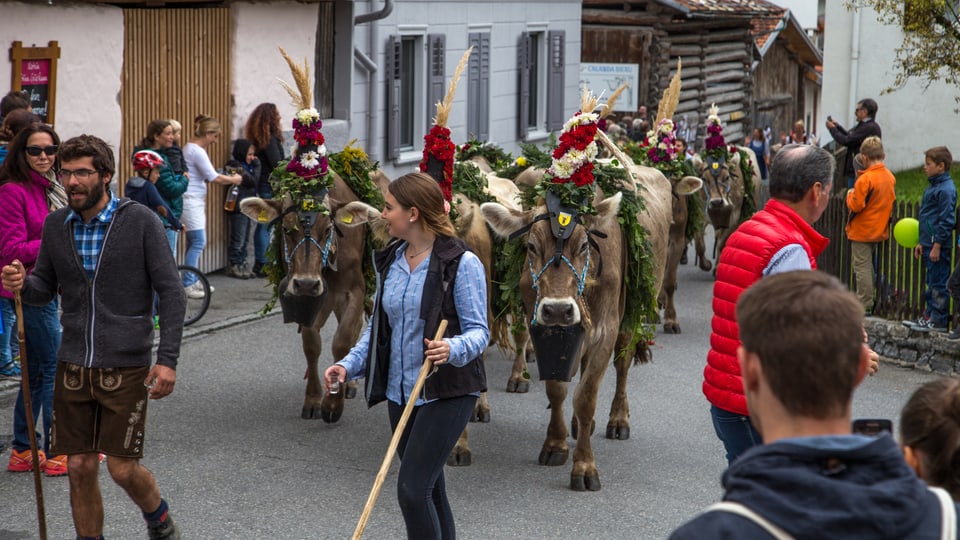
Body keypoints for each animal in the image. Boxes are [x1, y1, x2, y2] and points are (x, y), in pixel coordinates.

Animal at [240, 173, 376, 422]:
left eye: (328, 229)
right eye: (286, 229)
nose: (307, 283)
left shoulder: (354, 290)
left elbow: (342, 339)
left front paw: (333, 403)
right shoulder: (304, 298)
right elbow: (312, 345)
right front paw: (313, 399)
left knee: (354, 329)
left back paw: (350, 384)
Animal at [480, 167, 676, 492]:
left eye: (585, 245)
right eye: (531, 246)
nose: (559, 309)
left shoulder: (605, 331)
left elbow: (586, 398)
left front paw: (584, 467)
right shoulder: (542, 329)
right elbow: (557, 389)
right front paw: (555, 444)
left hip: (630, 315)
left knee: (622, 366)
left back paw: (617, 419)